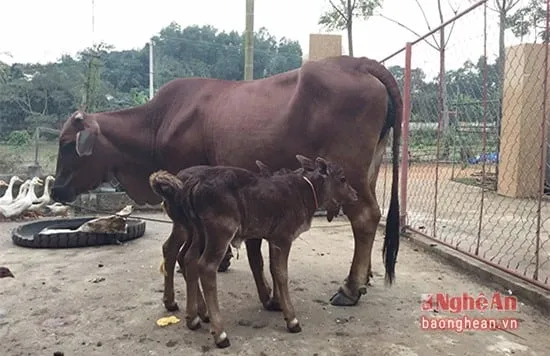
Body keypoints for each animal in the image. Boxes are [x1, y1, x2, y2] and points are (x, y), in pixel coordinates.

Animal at [51, 55, 404, 308]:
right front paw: (222, 260)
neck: (157, 122)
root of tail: (358, 63)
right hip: (368, 170)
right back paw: (365, 277)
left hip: (349, 174)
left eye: (67, 144)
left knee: (366, 217)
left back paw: (350, 287)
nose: (56, 188)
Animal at [149, 155, 360, 348]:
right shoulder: (282, 238)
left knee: (187, 258)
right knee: (205, 266)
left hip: (198, 232)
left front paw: (276, 303)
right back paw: (220, 333)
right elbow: (280, 274)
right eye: (342, 178)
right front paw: (291, 319)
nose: (355, 194)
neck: (304, 194)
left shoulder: (271, 238)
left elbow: (270, 269)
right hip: (219, 232)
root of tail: (193, 184)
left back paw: (193, 318)